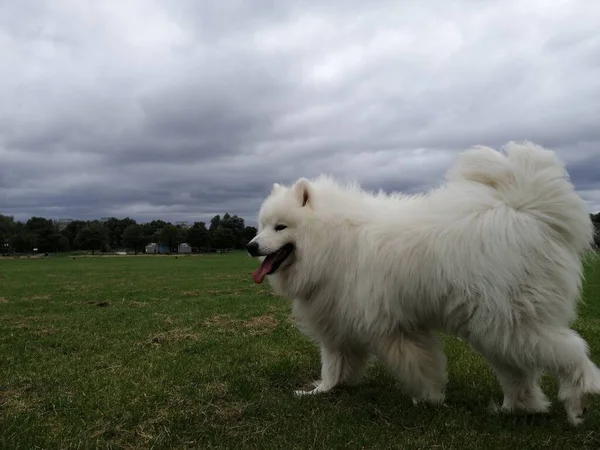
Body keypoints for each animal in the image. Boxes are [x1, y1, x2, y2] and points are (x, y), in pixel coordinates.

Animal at [246, 142, 596, 426]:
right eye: (261, 226)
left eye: (280, 227)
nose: (250, 246)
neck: (331, 239)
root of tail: (526, 211)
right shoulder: (340, 323)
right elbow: (334, 365)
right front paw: (322, 391)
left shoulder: (392, 328)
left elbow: (420, 366)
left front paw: (429, 399)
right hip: (496, 329)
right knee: (519, 373)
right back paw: (515, 408)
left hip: (509, 323)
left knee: (571, 351)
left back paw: (579, 400)